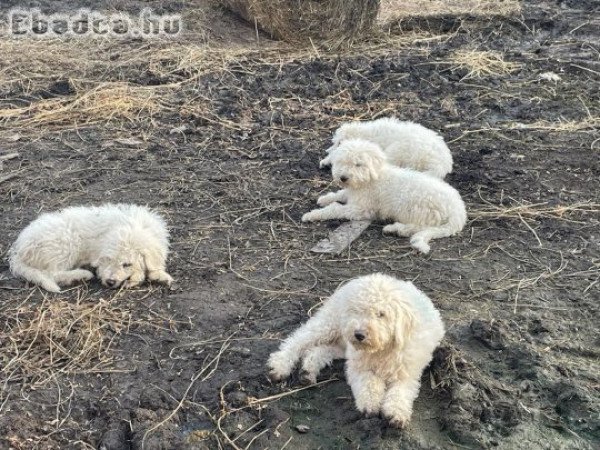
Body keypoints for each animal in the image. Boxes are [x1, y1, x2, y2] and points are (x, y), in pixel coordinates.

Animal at [9, 203, 173, 294]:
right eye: (108, 260)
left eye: (127, 264)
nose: (110, 282)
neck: (132, 225)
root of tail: (19, 250)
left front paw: (160, 276)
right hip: (65, 244)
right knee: (53, 273)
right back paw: (81, 274)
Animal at [268, 272, 446, 428]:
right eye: (357, 310)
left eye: (381, 314)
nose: (359, 334)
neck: (381, 350)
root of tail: (357, 279)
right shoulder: (358, 366)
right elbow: (369, 382)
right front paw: (370, 404)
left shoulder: (407, 373)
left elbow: (400, 392)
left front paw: (396, 413)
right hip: (330, 323)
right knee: (298, 340)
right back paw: (279, 366)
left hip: (342, 343)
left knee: (321, 350)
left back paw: (308, 371)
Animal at [302, 139, 466, 253]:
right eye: (342, 162)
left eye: (358, 164)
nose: (343, 178)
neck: (372, 178)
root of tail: (459, 212)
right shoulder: (353, 194)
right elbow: (340, 194)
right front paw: (324, 199)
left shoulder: (363, 209)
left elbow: (336, 208)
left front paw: (312, 215)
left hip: (419, 211)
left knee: (418, 227)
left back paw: (395, 228)